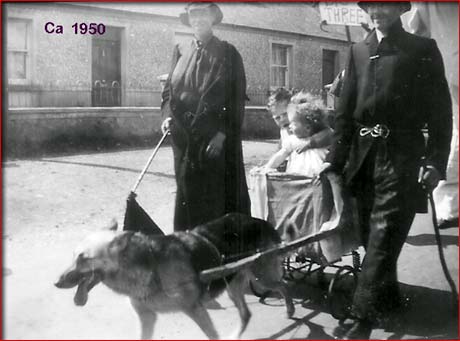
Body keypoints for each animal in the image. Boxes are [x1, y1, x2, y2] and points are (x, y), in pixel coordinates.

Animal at [54, 212, 294, 338]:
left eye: (84, 258)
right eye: (73, 256)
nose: (55, 283)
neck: (150, 265)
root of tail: (259, 220)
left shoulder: (195, 310)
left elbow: (212, 335)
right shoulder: (147, 317)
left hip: (262, 276)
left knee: (283, 285)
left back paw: (290, 309)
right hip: (233, 286)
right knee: (246, 314)